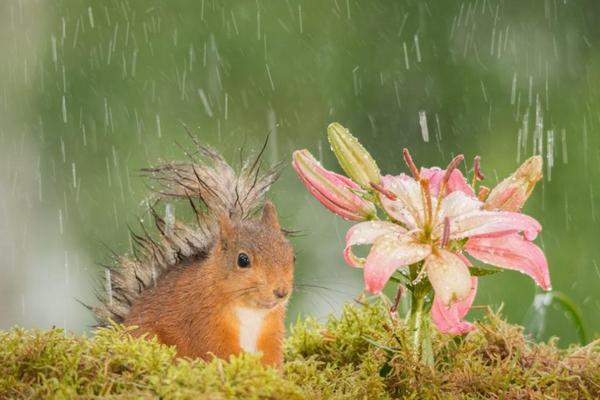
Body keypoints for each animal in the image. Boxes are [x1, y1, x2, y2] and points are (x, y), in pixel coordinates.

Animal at [93, 142, 296, 368]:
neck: (250, 311)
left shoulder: (272, 332)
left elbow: (272, 359)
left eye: (292, 256)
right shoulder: (204, 322)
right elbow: (219, 351)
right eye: (243, 260)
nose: (281, 292)